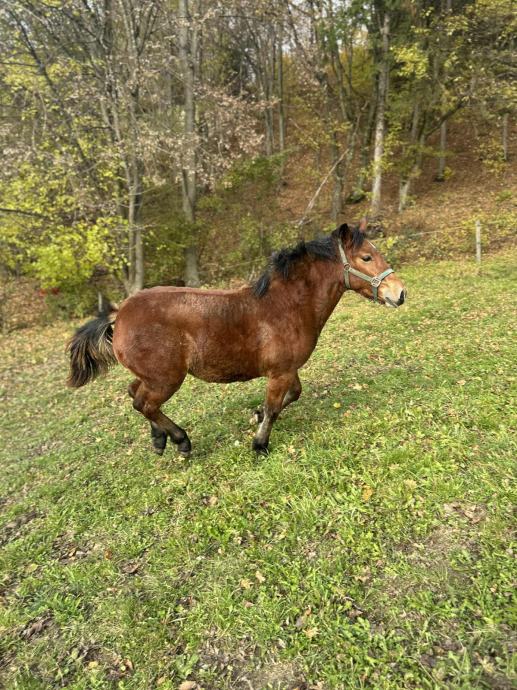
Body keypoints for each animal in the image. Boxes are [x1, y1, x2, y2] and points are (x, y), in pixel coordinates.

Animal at [67, 221, 406, 455]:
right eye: (366, 257)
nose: (400, 293)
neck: (285, 306)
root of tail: (119, 314)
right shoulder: (279, 372)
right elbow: (274, 406)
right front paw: (260, 444)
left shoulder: (287, 370)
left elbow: (292, 396)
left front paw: (256, 416)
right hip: (166, 379)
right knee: (143, 403)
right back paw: (181, 441)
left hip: (152, 376)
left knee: (133, 393)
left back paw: (159, 439)